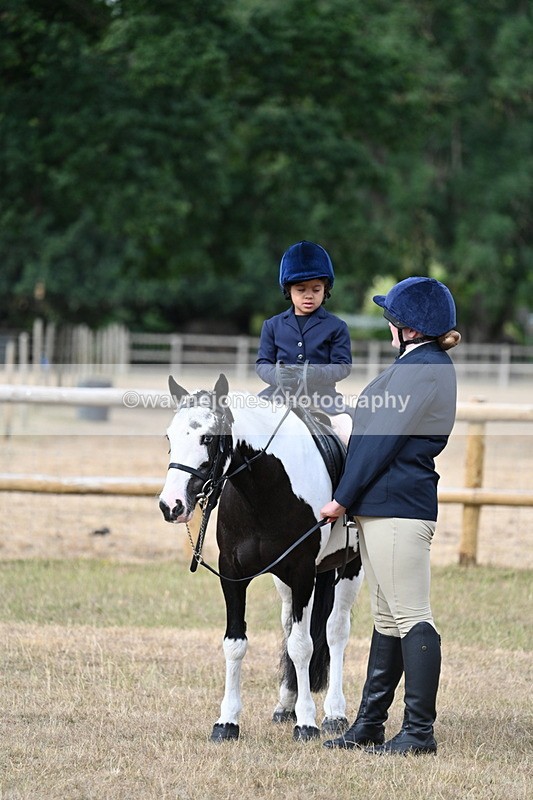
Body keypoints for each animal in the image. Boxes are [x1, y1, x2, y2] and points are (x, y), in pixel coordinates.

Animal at [159, 373, 363, 742]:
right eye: (169, 436)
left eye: (208, 437)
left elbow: (303, 645)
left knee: (335, 631)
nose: (172, 505)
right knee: (290, 625)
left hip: (350, 567)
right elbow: (235, 643)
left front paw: (307, 722)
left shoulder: (302, 572)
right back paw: (286, 705)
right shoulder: (232, 574)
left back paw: (334, 713)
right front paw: (227, 722)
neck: (265, 490)